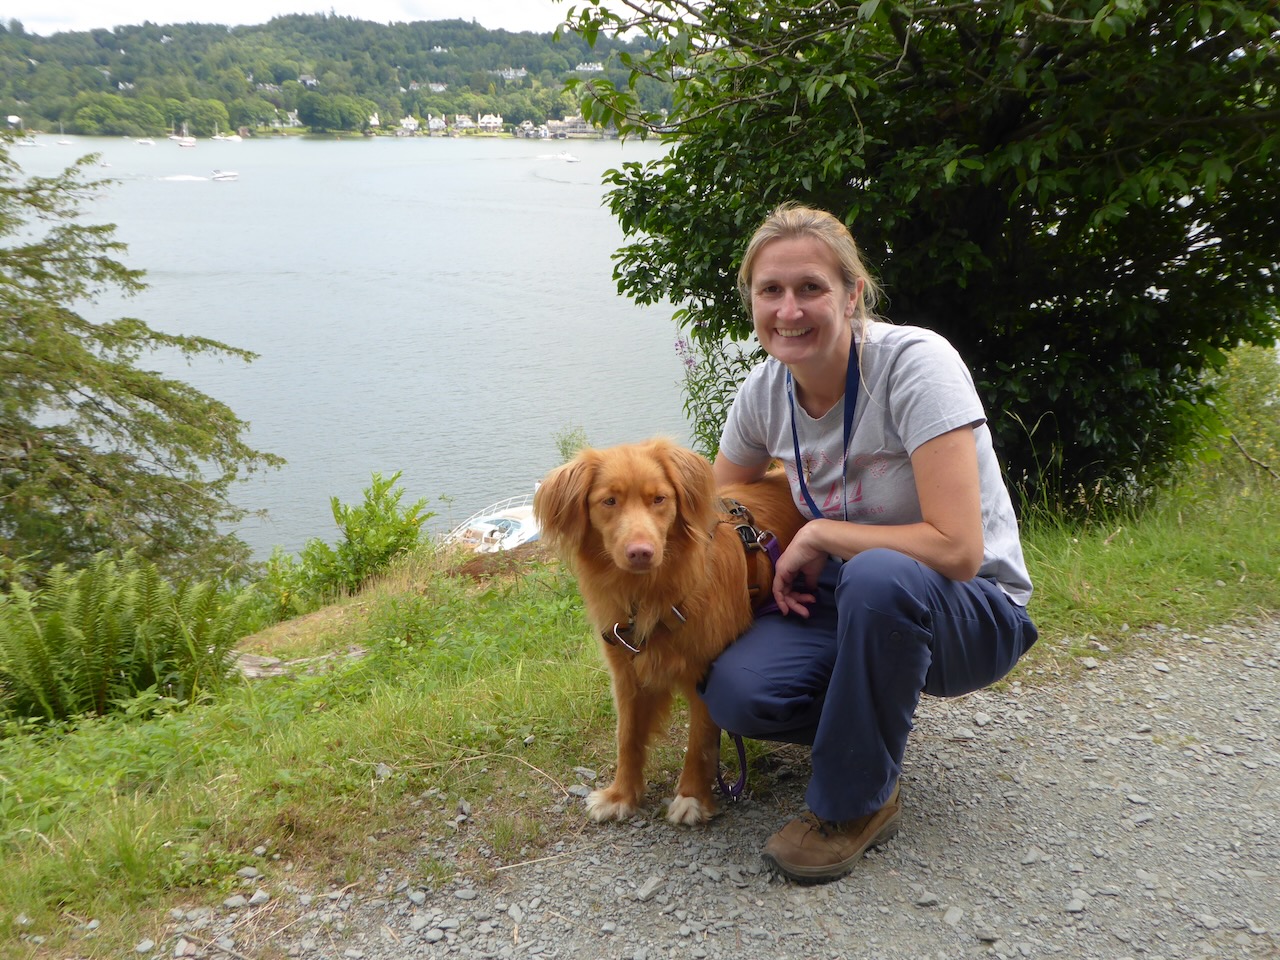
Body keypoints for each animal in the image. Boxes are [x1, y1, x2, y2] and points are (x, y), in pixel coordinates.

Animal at [535, 440, 803, 824]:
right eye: (609, 501)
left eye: (659, 499)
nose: (641, 552)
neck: (651, 594)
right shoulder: (627, 672)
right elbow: (628, 737)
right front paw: (621, 796)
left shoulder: (706, 671)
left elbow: (700, 742)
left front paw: (692, 798)